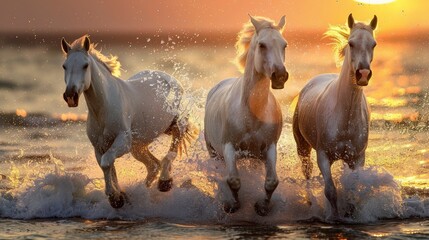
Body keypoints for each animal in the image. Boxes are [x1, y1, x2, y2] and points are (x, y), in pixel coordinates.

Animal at [60, 35, 197, 208]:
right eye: (64, 66)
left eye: (85, 65)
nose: (70, 96)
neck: (104, 109)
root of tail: (170, 79)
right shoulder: (99, 147)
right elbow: (108, 167)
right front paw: (119, 196)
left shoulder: (122, 141)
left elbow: (106, 163)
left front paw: (114, 197)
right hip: (138, 146)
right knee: (153, 165)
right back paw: (143, 191)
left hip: (176, 126)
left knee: (170, 152)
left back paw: (165, 182)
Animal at [203, 15, 288, 216]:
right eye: (262, 45)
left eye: (284, 45)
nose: (280, 76)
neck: (252, 115)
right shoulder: (228, 148)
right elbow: (233, 180)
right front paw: (233, 205)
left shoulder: (269, 147)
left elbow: (271, 182)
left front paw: (262, 208)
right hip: (214, 153)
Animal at [290, 14, 378, 221]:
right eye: (351, 43)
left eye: (374, 44)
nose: (363, 74)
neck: (344, 118)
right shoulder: (323, 156)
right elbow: (330, 191)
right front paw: (334, 217)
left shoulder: (357, 158)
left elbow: (352, 189)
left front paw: (350, 215)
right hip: (303, 148)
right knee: (307, 173)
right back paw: (310, 204)